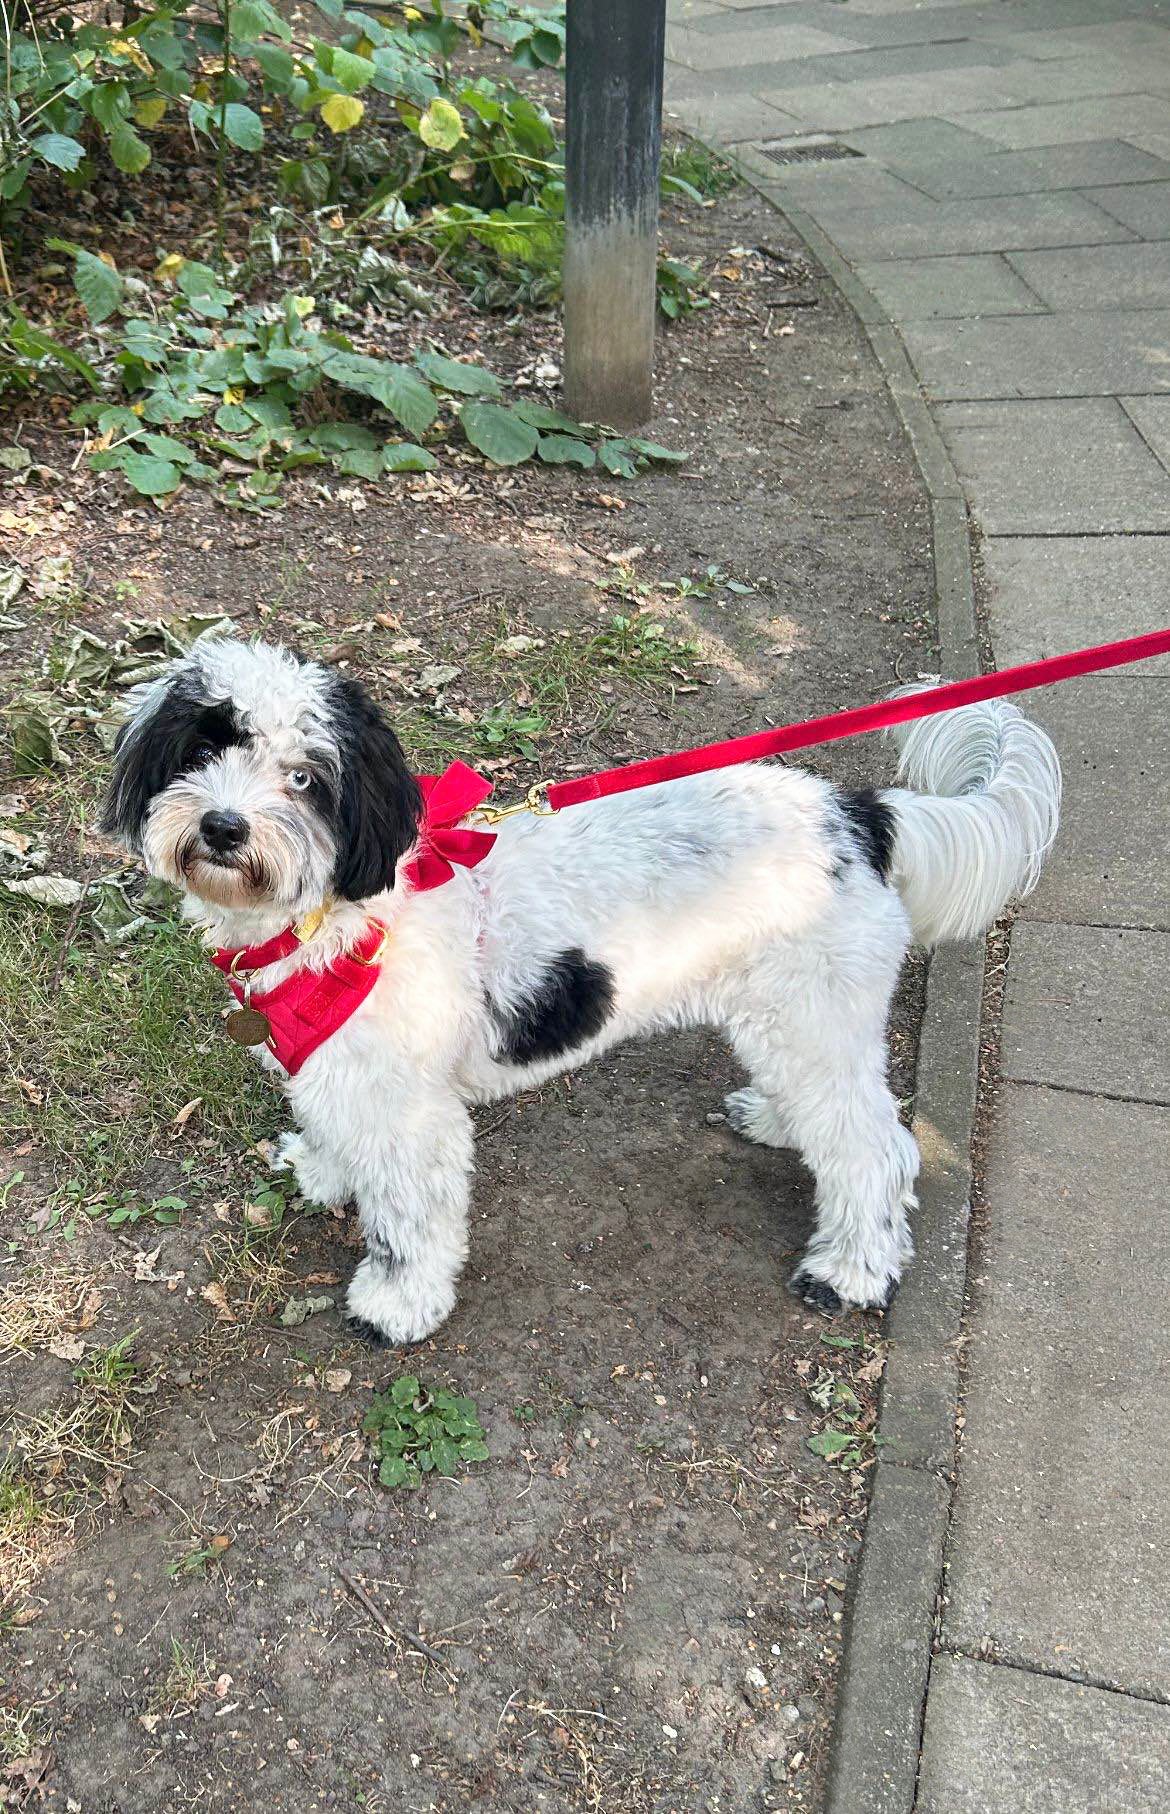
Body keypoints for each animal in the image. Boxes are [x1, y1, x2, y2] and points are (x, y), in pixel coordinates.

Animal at [104, 642, 1066, 1349]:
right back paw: (777, 1122)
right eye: (205, 746)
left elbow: (409, 1222)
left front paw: (397, 1305)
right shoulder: (335, 1069)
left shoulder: (414, 1116)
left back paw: (850, 1271)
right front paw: (326, 1171)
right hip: (790, 1022)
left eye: (306, 777)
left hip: (815, 1019)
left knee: (876, 1150)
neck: (334, 917)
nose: (224, 826)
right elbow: (336, 1134)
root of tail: (861, 817)